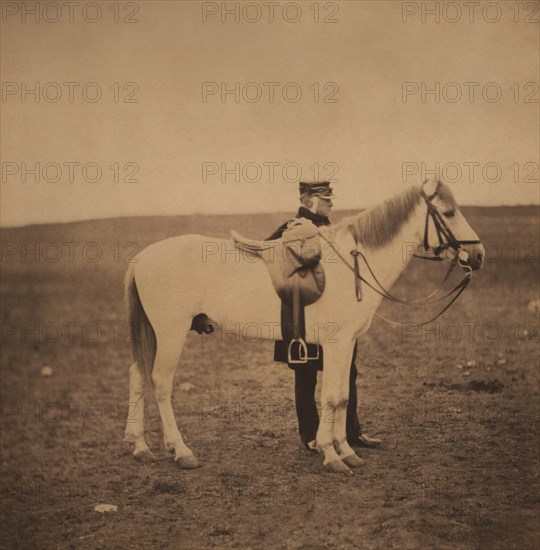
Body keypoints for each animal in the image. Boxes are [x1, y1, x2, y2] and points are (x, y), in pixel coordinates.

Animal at [123, 180, 486, 474]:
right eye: (449, 212)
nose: (478, 254)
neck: (353, 261)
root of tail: (142, 258)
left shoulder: (347, 344)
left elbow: (342, 396)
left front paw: (347, 450)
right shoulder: (337, 343)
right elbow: (331, 398)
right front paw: (331, 453)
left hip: (154, 333)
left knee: (137, 375)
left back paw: (140, 446)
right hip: (170, 333)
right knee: (160, 383)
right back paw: (180, 451)